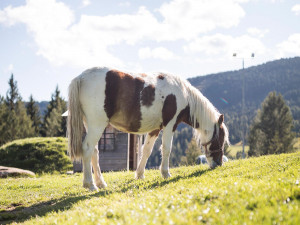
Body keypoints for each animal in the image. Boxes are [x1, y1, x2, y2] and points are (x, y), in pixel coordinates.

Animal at [67, 67, 229, 192]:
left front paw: (139, 174)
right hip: (97, 125)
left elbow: (146, 151)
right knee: (87, 149)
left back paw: (100, 183)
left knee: (94, 151)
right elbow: (166, 149)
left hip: (92, 126)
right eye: (220, 139)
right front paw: (165, 173)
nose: (219, 163)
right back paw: (90, 184)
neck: (182, 93)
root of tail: (81, 77)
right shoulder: (170, 125)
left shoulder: (155, 130)